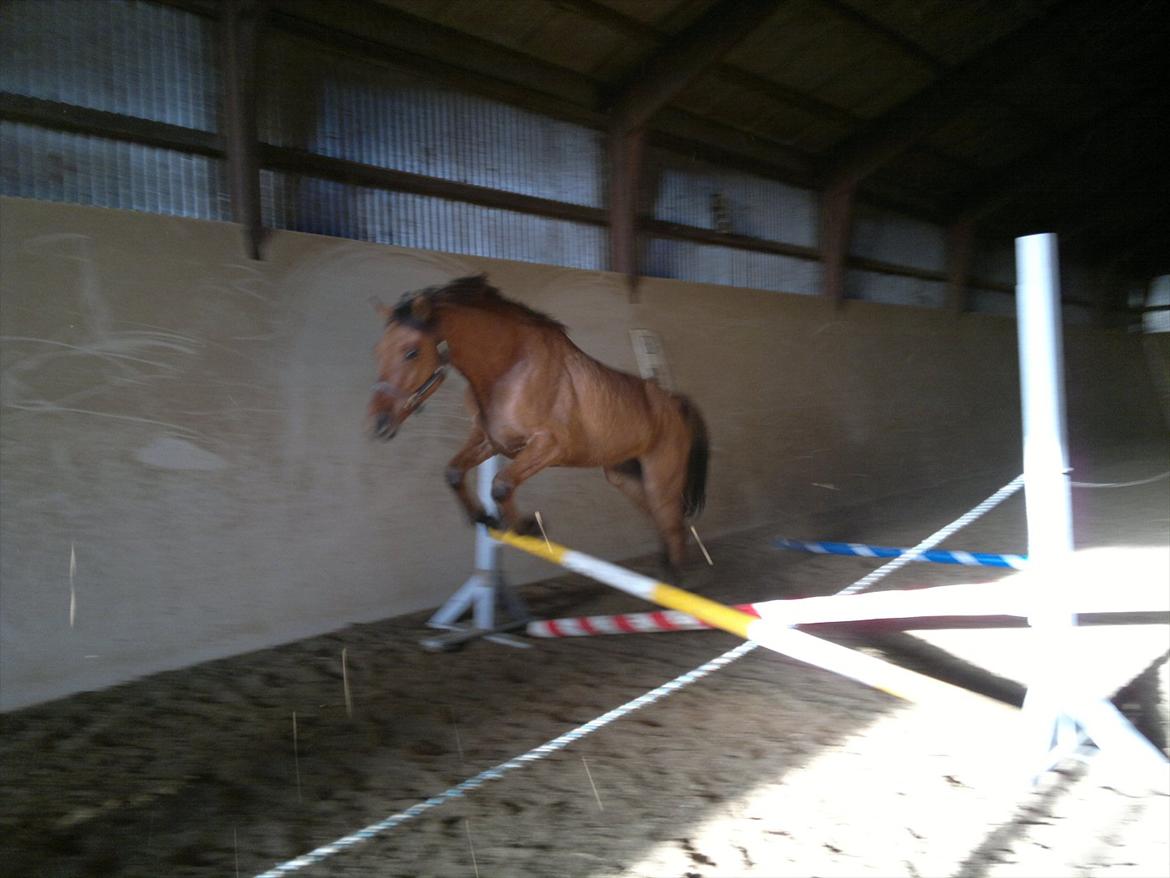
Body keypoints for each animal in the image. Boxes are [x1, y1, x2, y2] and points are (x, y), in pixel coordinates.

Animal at [368, 274, 709, 576]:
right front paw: (483, 518)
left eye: (411, 352)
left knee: (672, 524)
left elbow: (501, 485)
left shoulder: (548, 446)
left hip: (661, 476)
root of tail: (676, 402)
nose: (379, 425)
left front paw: (526, 527)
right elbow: (454, 472)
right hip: (622, 474)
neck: (510, 367)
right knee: (664, 521)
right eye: (378, 351)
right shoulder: (491, 440)